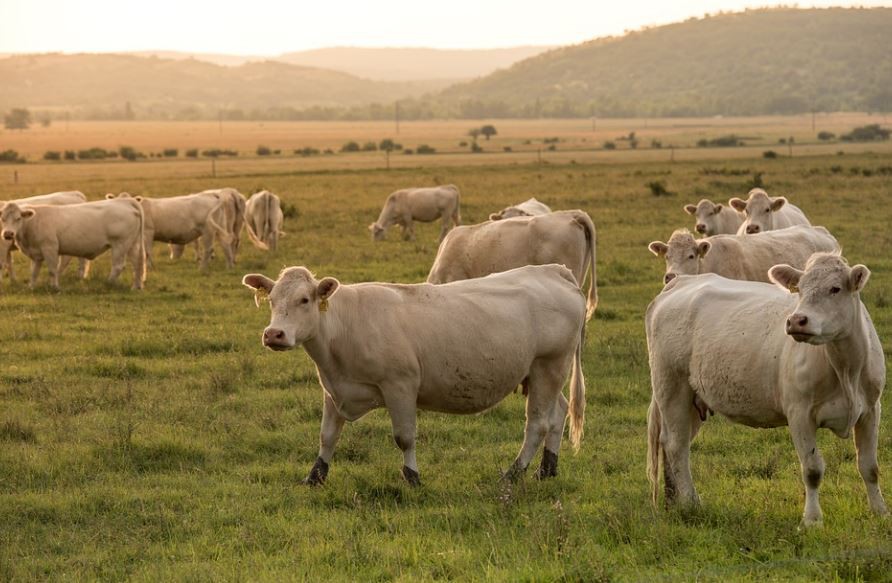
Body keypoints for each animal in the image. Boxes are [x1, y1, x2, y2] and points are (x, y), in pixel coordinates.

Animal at [0, 199, 145, 289]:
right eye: (2, 218)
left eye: (18, 218)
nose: (8, 234)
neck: (33, 222)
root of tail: (126, 201)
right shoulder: (36, 253)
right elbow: (34, 272)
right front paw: (31, 287)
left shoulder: (50, 248)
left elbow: (52, 270)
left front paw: (55, 287)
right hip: (132, 244)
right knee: (137, 264)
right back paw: (136, 286)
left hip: (120, 245)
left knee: (118, 266)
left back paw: (107, 284)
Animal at [242, 264, 586, 486]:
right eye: (272, 300)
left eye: (304, 300)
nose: (274, 334)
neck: (345, 326)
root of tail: (553, 270)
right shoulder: (334, 389)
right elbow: (327, 436)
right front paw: (315, 475)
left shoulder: (400, 386)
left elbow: (404, 437)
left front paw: (412, 477)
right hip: (544, 373)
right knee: (558, 413)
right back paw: (547, 469)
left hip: (548, 366)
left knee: (538, 424)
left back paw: (513, 474)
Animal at [645, 253, 887, 526]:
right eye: (799, 289)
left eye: (835, 288)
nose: (796, 320)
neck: (846, 369)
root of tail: (680, 282)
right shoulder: (799, 414)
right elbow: (812, 469)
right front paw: (812, 520)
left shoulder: (871, 410)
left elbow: (869, 466)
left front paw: (880, 511)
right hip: (671, 386)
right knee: (676, 445)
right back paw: (690, 503)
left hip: (692, 400)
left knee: (675, 443)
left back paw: (673, 501)